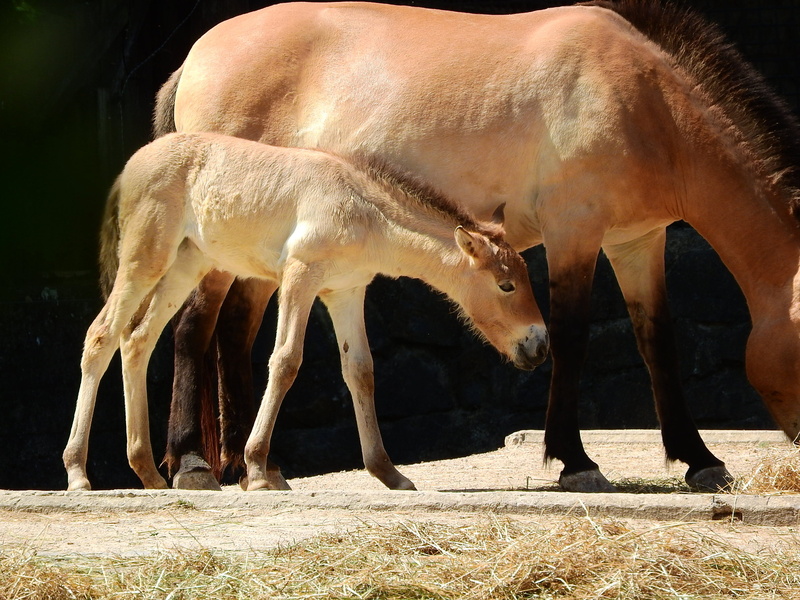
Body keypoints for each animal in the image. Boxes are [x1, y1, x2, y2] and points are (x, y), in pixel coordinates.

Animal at [62, 132, 548, 491]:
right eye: (506, 284)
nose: (539, 345)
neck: (364, 211)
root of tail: (130, 166)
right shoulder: (299, 277)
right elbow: (285, 362)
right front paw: (259, 469)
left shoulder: (347, 292)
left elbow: (361, 371)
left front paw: (388, 473)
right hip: (145, 259)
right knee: (101, 336)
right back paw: (78, 474)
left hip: (187, 265)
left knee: (137, 340)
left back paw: (147, 472)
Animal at [154, 0, 800, 493]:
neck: (642, 101)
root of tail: (194, 56)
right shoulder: (575, 234)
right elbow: (570, 339)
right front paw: (576, 461)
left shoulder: (637, 243)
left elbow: (658, 344)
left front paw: (701, 460)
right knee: (192, 331)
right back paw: (194, 466)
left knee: (233, 335)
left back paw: (251, 465)